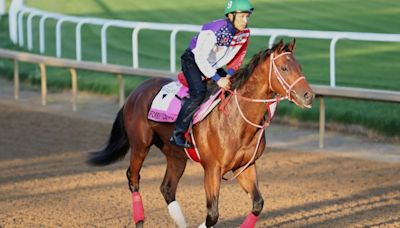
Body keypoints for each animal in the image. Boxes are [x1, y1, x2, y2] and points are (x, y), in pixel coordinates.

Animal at [87, 40, 316, 227]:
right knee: (133, 178)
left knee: (167, 188)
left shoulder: (245, 166)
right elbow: (212, 215)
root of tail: (135, 91)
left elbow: (258, 204)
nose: (309, 95)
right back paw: (140, 220)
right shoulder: (212, 169)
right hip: (140, 145)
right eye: (284, 68)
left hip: (176, 155)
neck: (236, 120)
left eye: (300, 67)